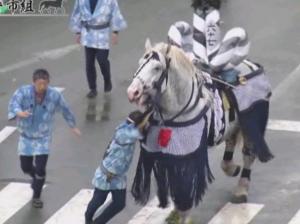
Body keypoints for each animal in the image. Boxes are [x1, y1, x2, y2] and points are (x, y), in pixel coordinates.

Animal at [127, 39, 272, 223]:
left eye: (157, 68)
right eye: (140, 63)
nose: (132, 92)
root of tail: (251, 65)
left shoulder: (189, 154)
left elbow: (185, 182)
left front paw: (183, 214)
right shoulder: (171, 154)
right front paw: (176, 212)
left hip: (251, 122)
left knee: (249, 154)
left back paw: (241, 189)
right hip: (233, 123)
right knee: (230, 142)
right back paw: (231, 167)